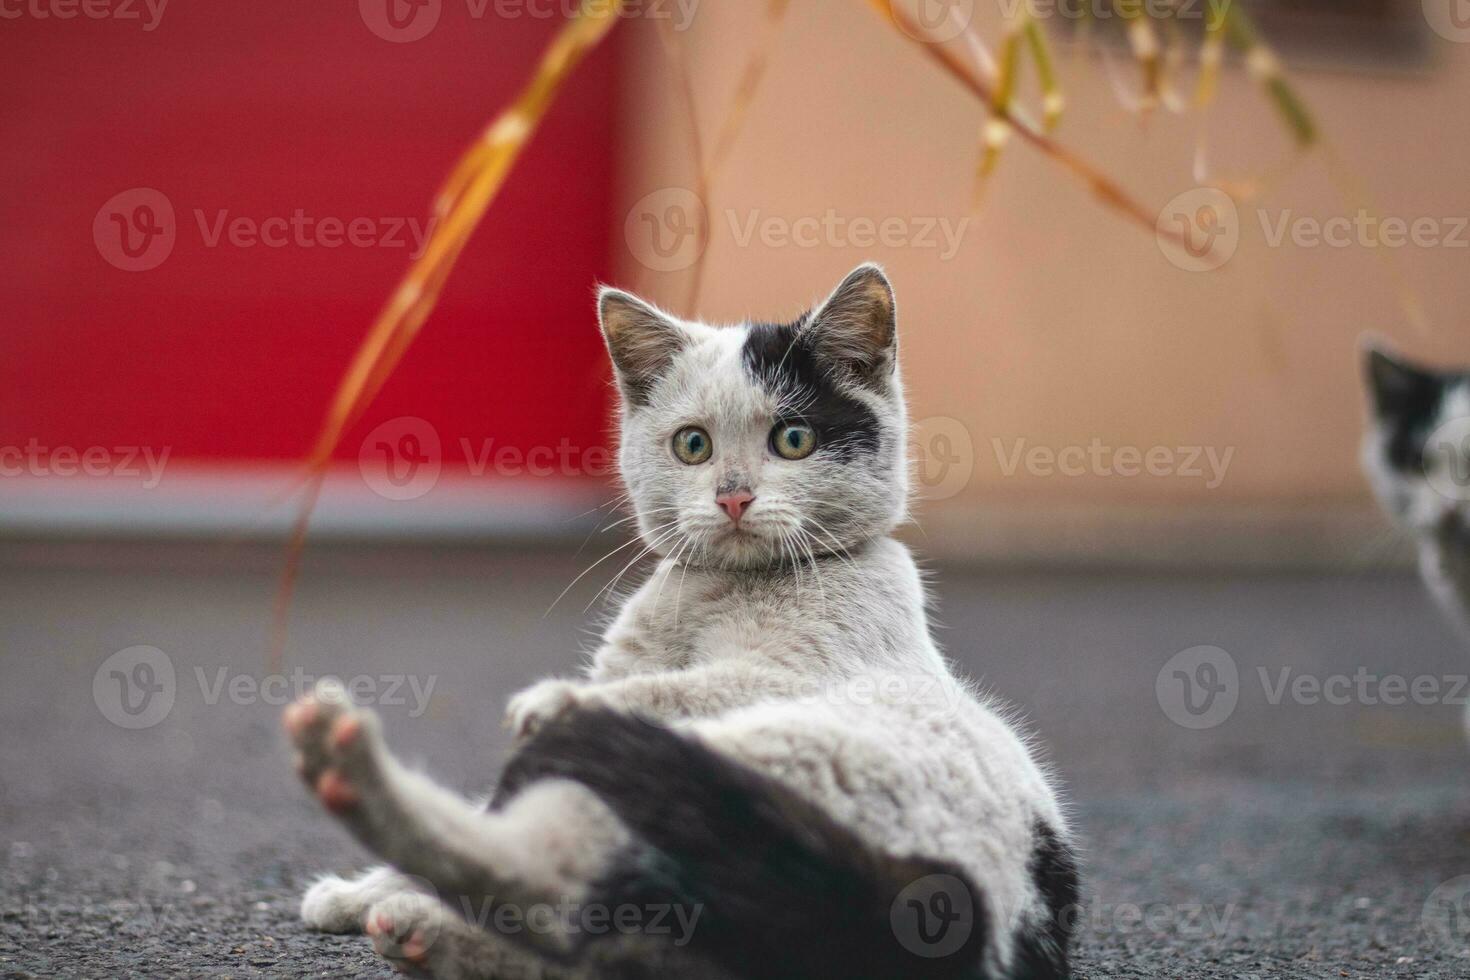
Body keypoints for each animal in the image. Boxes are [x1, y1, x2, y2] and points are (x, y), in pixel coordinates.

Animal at [280, 264, 1076, 975]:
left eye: (793, 440)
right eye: (692, 445)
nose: (733, 496)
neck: (718, 593)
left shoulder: (788, 676)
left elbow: (672, 686)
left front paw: (552, 698)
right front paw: (356, 892)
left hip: (754, 763)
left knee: (552, 880)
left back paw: (352, 773)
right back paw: (410, 916)